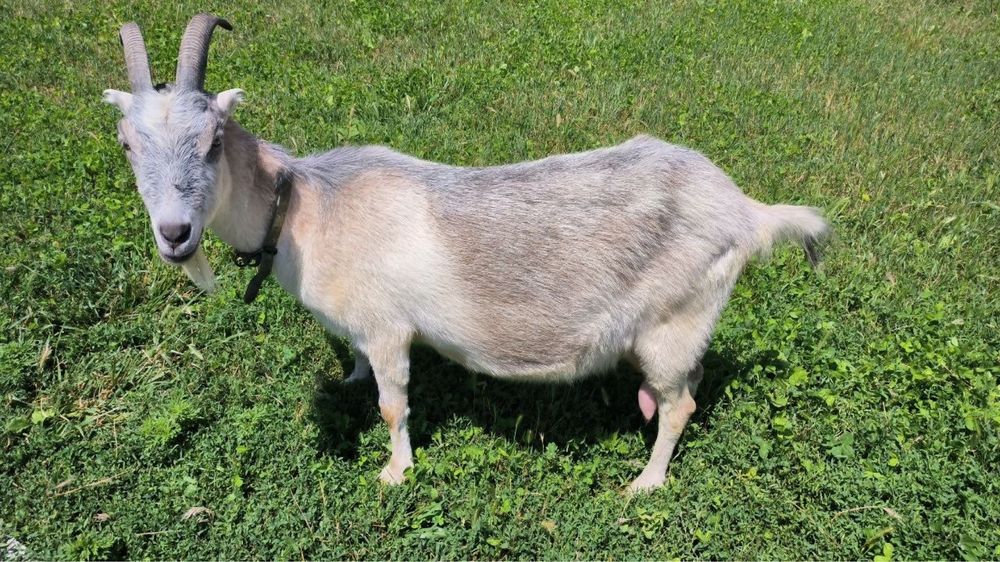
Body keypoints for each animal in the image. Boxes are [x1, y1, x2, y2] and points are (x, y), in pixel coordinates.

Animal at [103, 14, 829, 491]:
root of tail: (746, 210)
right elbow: (363, 371)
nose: (175, 234)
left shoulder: (389, 327)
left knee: (681, 405)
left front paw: (395, 472)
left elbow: (393, 404)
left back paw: (645, 483)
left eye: (212, 140)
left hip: (674, 321)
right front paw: (351, 378)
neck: (307, 206)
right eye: (127, 145)